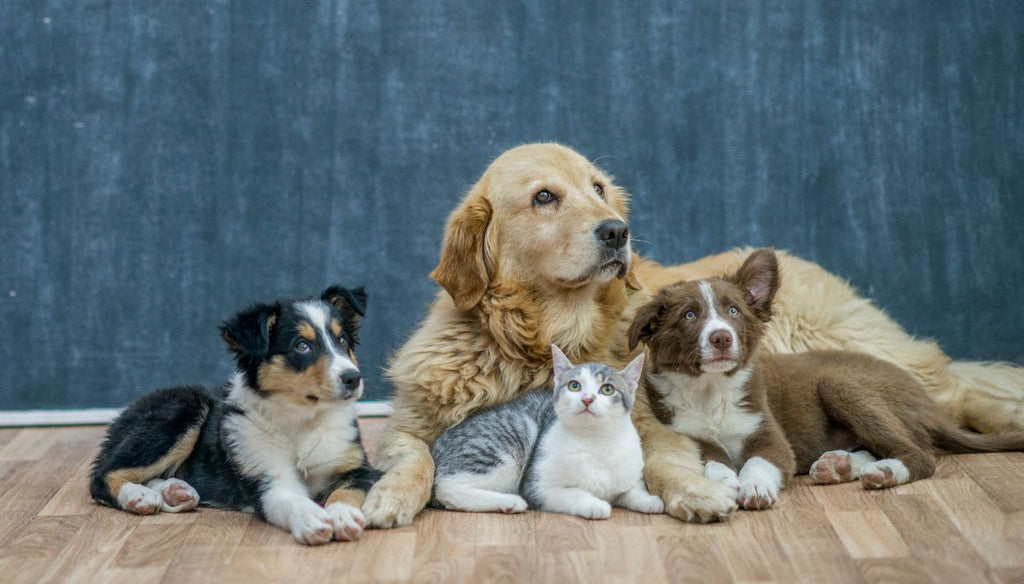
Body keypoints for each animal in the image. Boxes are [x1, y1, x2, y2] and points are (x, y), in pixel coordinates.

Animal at [90, 284, 378, 545]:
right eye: (302, 346)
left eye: (342, 341)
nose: (353, 378)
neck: (302, 419)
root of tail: (125, 412)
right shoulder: (265, 477)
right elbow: (292, 500)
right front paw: (313, 519)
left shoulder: (359, 468)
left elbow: (345, 493)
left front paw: (342, 516)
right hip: (184, 407)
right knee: (101, 476)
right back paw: (138, 496)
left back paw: (174, 491)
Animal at [430, 344, 663, 516]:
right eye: (574, 386)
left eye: (607, 389)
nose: (587, 399)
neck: (595, 441)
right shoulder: (538, 487)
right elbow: (573, 494)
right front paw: (596, 504)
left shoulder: (629, 474)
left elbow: (632, 491)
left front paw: (650, 501)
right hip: (510, 437)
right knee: (447, 487)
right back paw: (509, 501)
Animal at [626, 248, 1024, 508]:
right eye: (689, 315)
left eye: (734, 311)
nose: (722, 338)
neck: (711, 392)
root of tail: (928, 405)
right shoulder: (689, 435)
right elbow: (715, 461)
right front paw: (726, 482)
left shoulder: (771, 437)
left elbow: (759, 461)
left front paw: (754, 488)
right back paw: (841, 465)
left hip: (841, 383)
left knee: (920, 453)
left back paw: (885, 472)